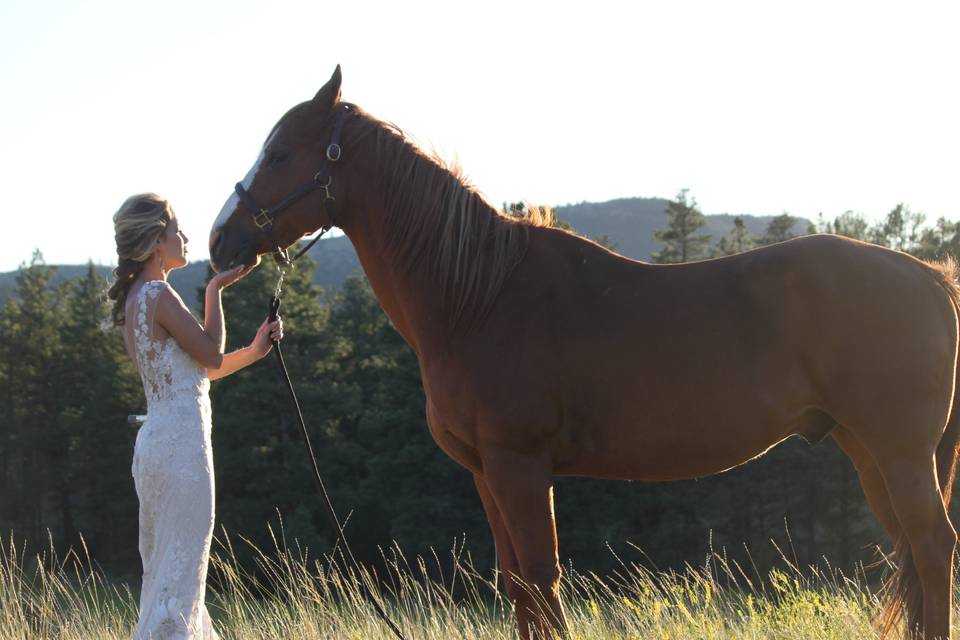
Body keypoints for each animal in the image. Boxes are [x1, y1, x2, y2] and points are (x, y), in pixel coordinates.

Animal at [210, 67, 960, 636]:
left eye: (280, 154)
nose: (220, 242)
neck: (478, 295)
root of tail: (930, 275)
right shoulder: (486, 473)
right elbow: (518, 585)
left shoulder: (520, 466)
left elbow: (543, 582)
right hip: (866, 449)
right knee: (912, 552)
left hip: (897, 451)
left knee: (930, 546)